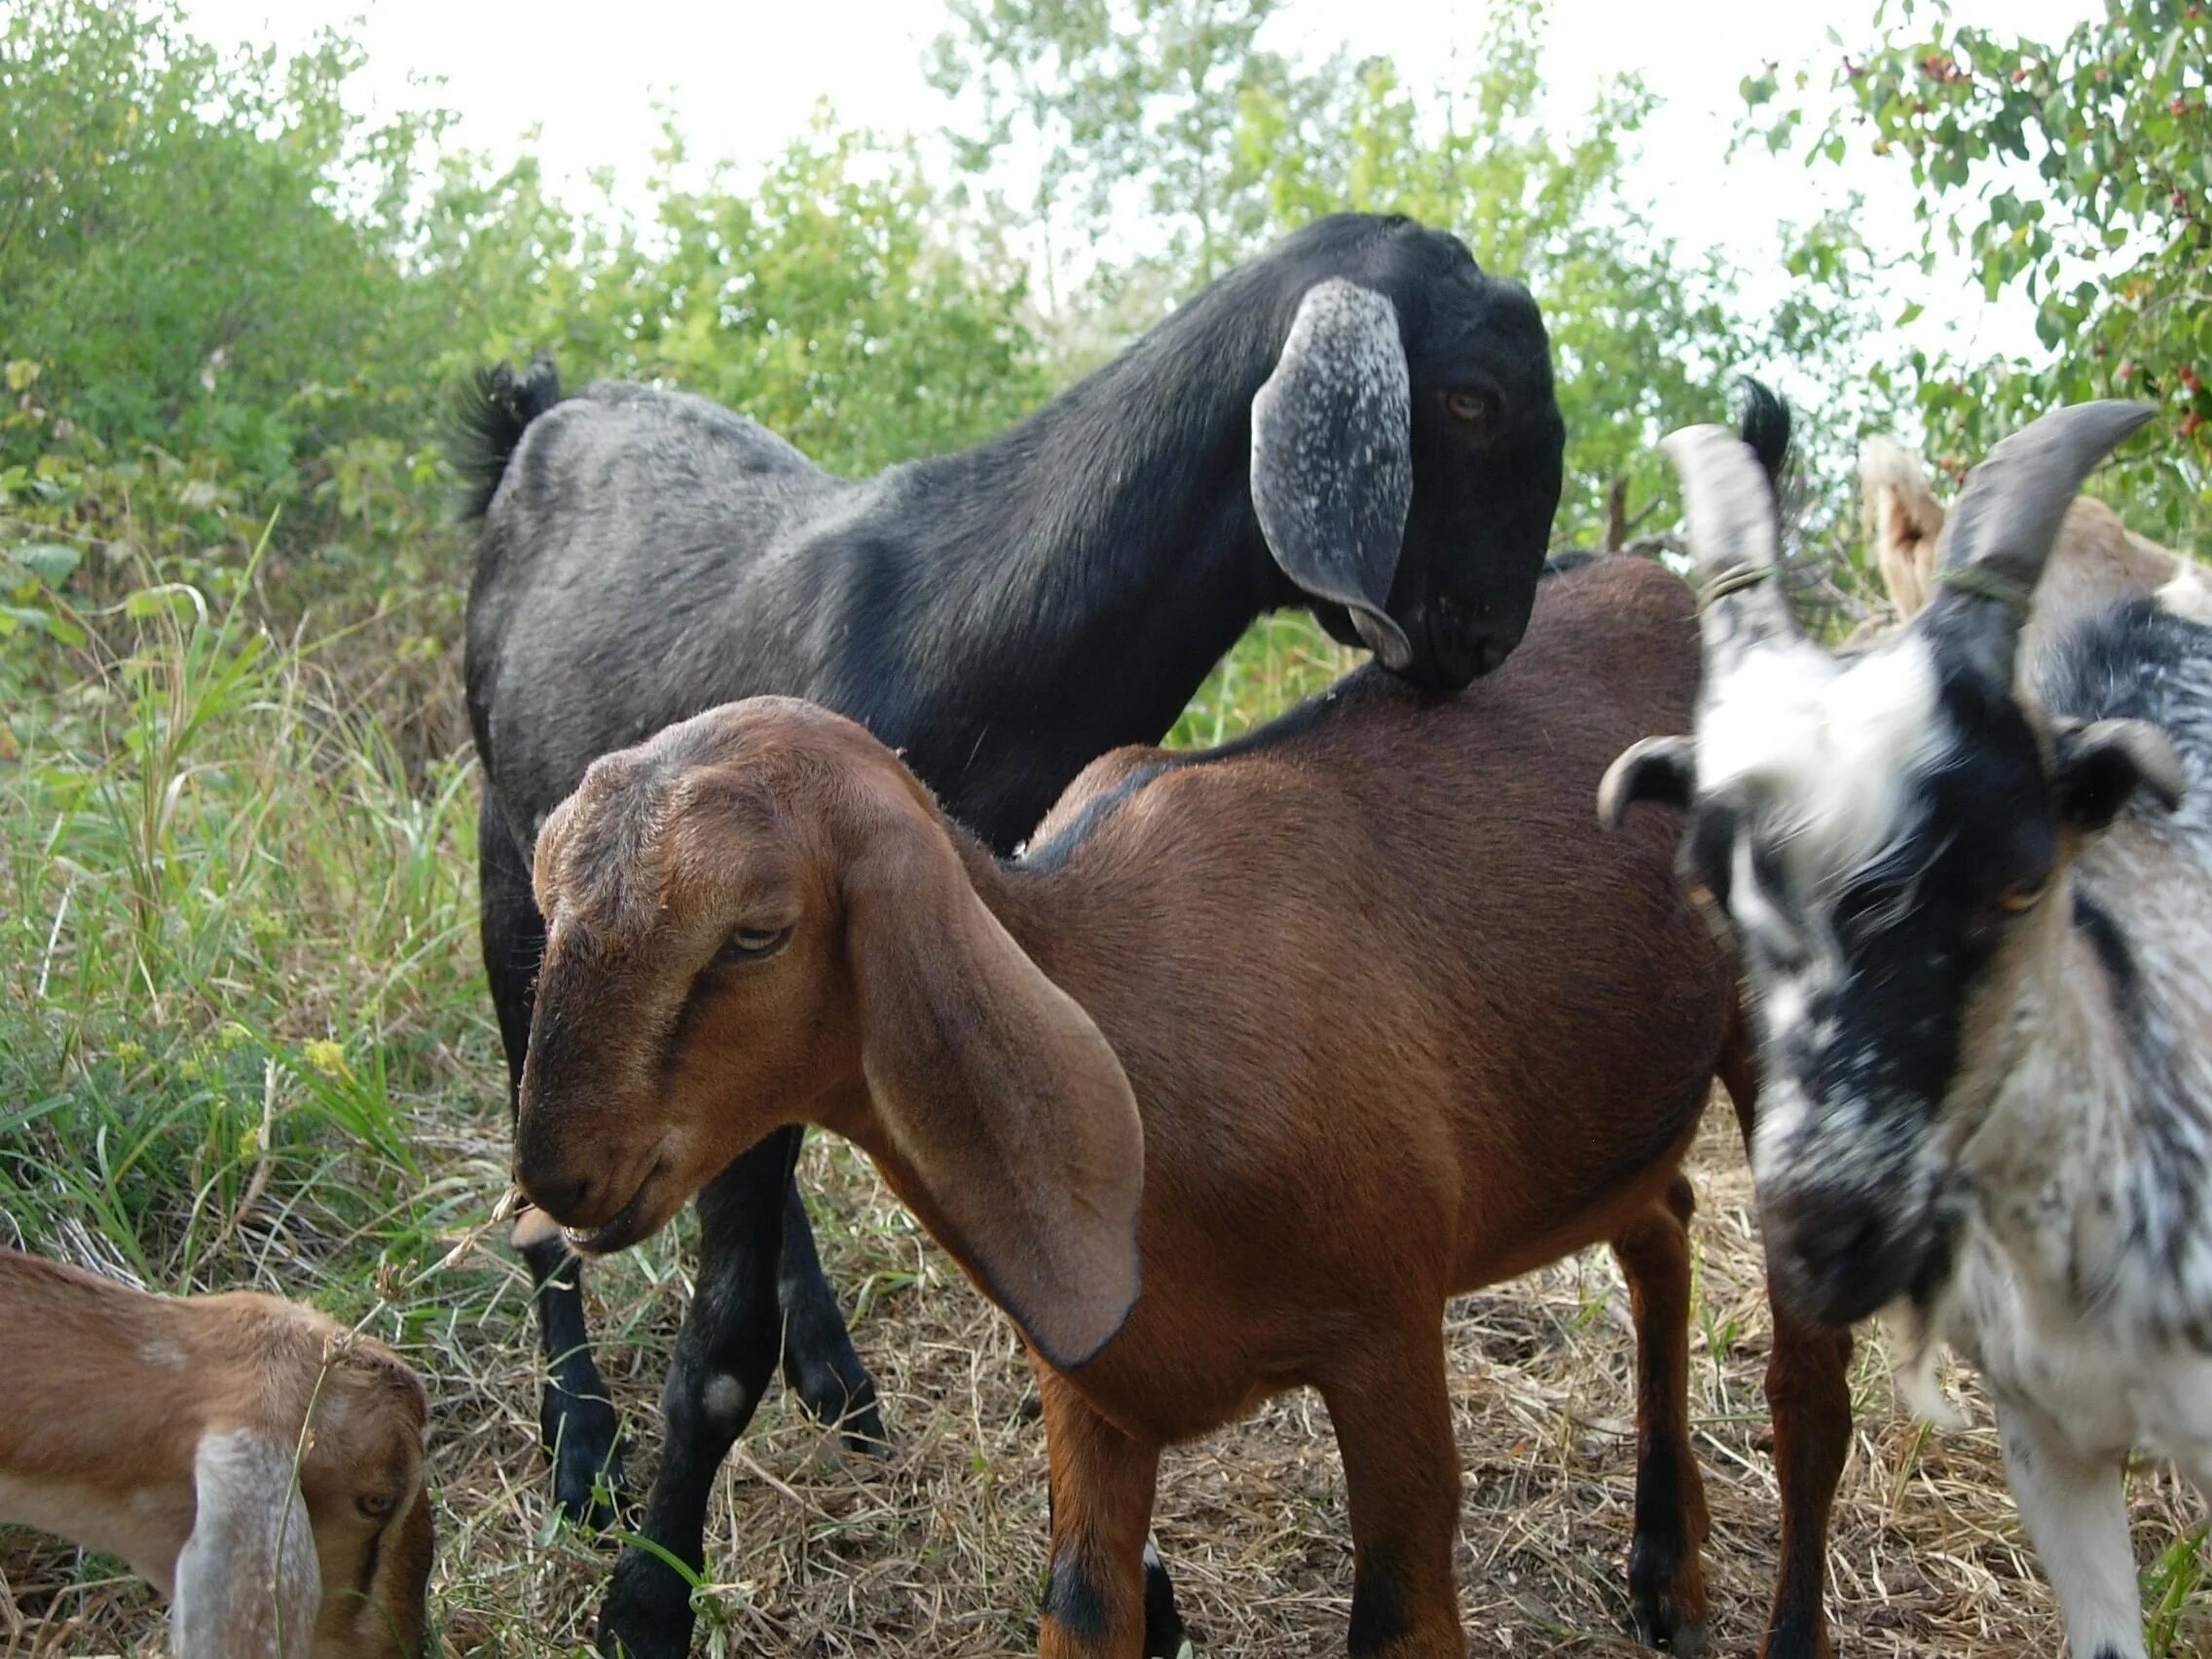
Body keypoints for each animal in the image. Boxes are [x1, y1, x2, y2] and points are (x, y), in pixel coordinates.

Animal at [513, 562, 1849, 1659]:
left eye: (756, 932)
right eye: (547, 894)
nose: (554, 1176)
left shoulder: (1388, 1333)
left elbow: (1400, 1613)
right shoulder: (1090, 1385)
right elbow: (1084, 1605)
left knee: (1808, 1390)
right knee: (1662, 1224)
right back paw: (1667, 1570)